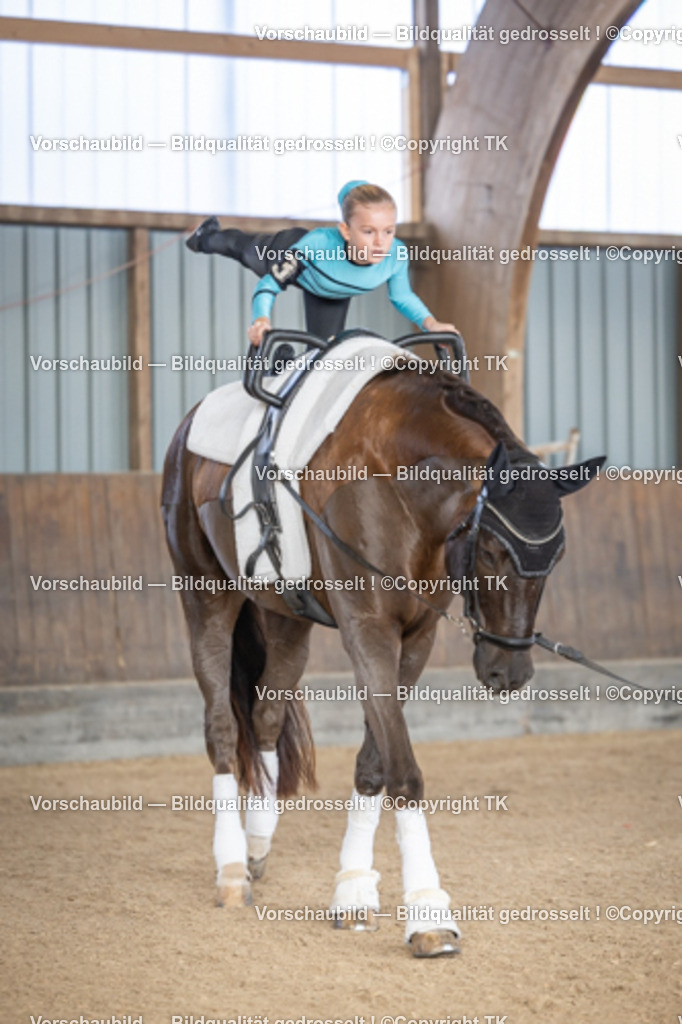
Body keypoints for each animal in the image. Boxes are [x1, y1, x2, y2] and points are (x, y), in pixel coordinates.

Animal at [161, 350, 601, 957]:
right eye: (491, 550)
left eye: (556, 558)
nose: (509, 671)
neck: (400, 487)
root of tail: (189, 423)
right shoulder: (369, 630)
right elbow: (405, 771)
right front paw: (429, 912)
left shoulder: (416, 637)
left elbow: (374, 761)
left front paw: (352, 889)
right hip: (204, 591)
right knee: (222, 726)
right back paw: (230, 869)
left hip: (286, 615)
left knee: (267, 715)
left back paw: (256, 844)